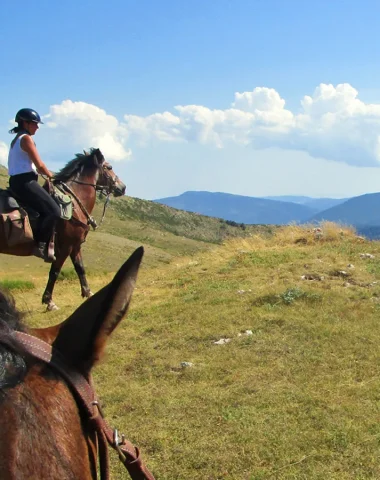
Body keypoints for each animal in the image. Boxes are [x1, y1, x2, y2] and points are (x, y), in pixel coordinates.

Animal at [0, 147, 126, 312]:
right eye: (109, 167)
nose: (122, 187)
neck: (74, 204)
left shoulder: (75, 245)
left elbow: (80, 268)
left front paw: (88, 293)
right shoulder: (66, 246)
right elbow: (55, 271)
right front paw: (49, 302)